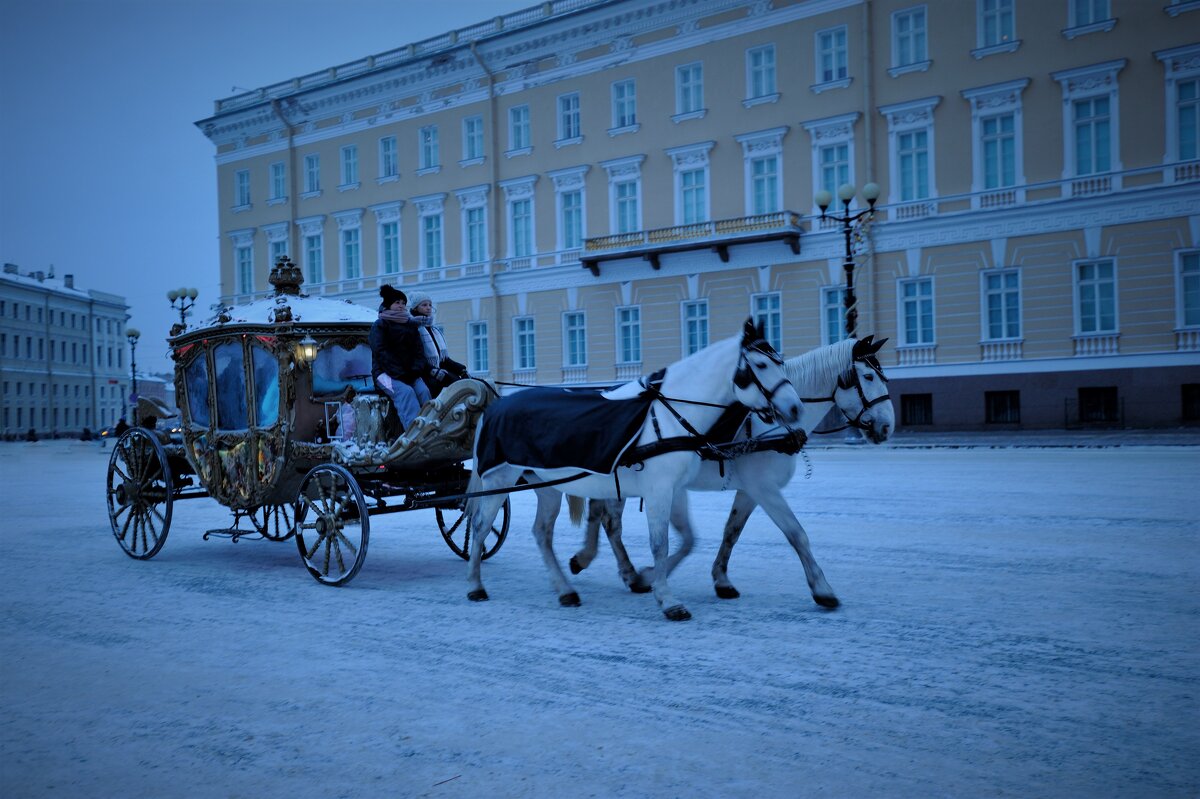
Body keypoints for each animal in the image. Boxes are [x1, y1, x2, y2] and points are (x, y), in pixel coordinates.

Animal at [463, 321, 801, 619]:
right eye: (760, 365)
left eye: (780, 362)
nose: (795, 408)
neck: (667, 416)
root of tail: (494, 408)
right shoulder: (659, 490)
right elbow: (660, 543)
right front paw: (667, 599)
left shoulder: (675, 489)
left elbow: (681, 539)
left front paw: (647, 580)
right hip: (500, 479)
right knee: (481, 527)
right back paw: (475, 585)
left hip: (547, 486)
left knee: (541, 533)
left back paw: (565, 590)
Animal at [561, 333, 892, 604]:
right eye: (867, 376)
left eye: (883, 376)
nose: (887, 426)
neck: (769, 424)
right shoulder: (764, 488)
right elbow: (796, 533)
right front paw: (822, 589)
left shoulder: (750, 491)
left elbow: (731, 532)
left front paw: (721, 580)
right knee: (610, 522)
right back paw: (616, 568)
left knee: (599, 514)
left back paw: (591, 560)